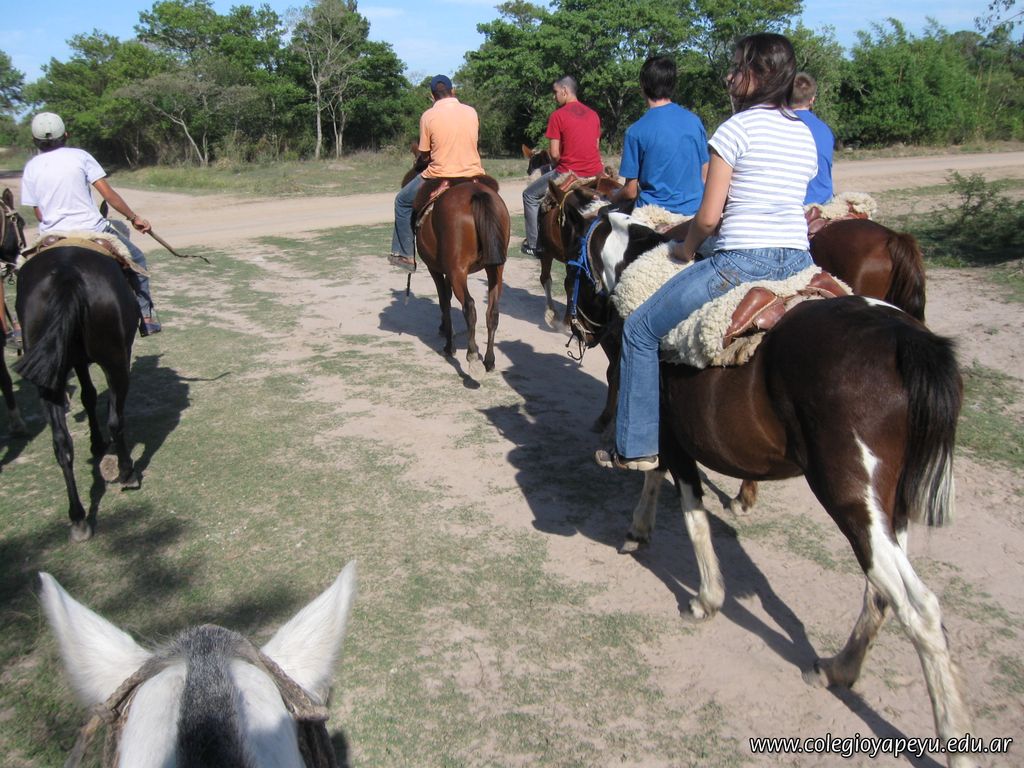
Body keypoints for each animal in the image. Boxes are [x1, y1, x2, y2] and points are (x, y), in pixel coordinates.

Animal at [15, 241, 141, 541]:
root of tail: (67, 274)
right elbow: (93, 398)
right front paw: (99, 444)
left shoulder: (77, 361)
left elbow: (88, 395)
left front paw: (96, 443)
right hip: (116, 360)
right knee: (115, 421)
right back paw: (127, 474)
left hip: (50, 378)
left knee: (62, 442)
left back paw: (78, 517)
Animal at [401, 154, 510, 375]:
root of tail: (477, 194)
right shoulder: (447, 270)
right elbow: (448, 299)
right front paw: (445, 329)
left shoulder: (436, 268)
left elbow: (444, 300)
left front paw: (448, 344)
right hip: (495, 269)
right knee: (492, 312)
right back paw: (489, 360)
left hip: (458, 271)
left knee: (469, 306)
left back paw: (472, 356)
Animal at [566, 212, 973, 766]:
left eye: (572, 265)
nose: (575, 326)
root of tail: (903, 340)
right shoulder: (669, 439)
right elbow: (654, 480)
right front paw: (638, 531)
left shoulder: (675, 442)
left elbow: (691, 514)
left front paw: (706, 598)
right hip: (892, 507)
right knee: (881, 592)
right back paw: (838, 667)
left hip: (852, 501)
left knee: (921, 610)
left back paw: (953, 738)